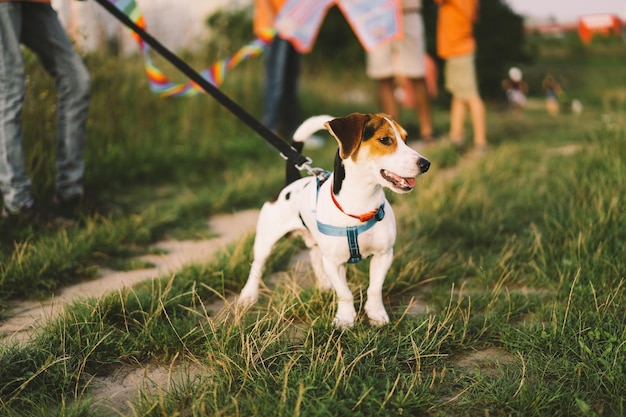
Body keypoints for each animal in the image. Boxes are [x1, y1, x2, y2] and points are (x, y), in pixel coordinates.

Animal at [235, 112, 428, 326]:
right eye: (385, 139)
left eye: (406, 139)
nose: (425, 164)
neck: (360, 205)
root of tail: (292, 182)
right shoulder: (334, 262)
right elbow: (345, 293)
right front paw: (345, 318)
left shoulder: (383, 254)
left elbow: (375, 289)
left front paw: (376, 314)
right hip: (266, 241)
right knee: (257, 267)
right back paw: (248, 295)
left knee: (314, 256)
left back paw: (324, 285)